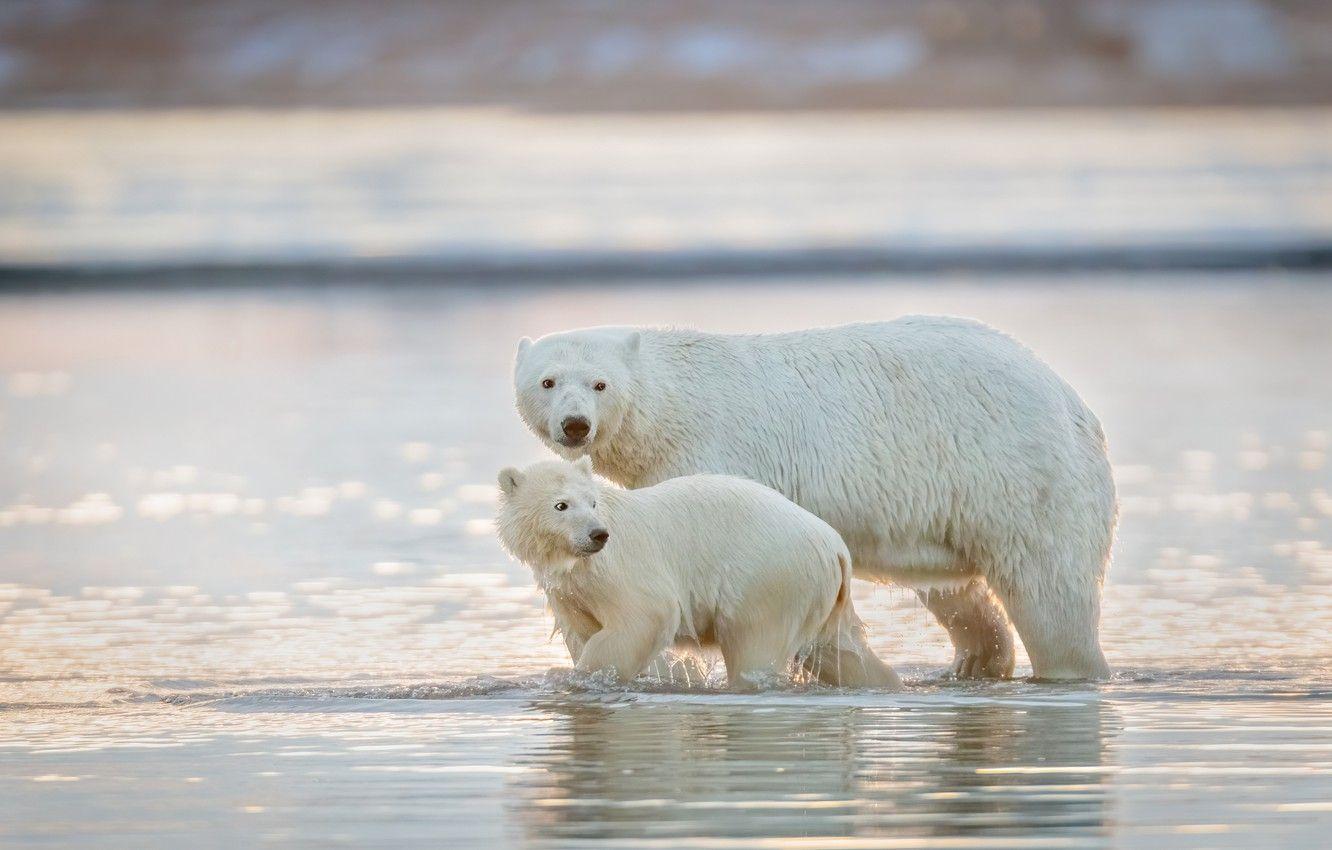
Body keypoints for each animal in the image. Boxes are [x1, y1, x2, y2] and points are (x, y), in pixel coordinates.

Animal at [495, 457, 902, 691]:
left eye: (592, 502)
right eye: (561, 505)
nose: (598, 534)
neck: (574, 561)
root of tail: (835, 546)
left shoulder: (620, 568)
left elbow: (644, 615)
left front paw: (587, 677)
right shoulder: (569, 587)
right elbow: (582, 630)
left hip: (769, 579)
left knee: (756, 647)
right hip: (820, 593)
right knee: (838, 651)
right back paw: (885, 681)